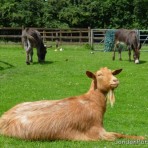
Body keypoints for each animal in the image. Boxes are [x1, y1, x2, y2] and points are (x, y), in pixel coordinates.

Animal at [0, 67, 145, 140]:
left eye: (112, 72)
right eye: (99, 75)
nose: (115, 81)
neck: (92, 102)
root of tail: (3, 119)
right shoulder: (97, 132)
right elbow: (117, 135)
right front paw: (142, 137)